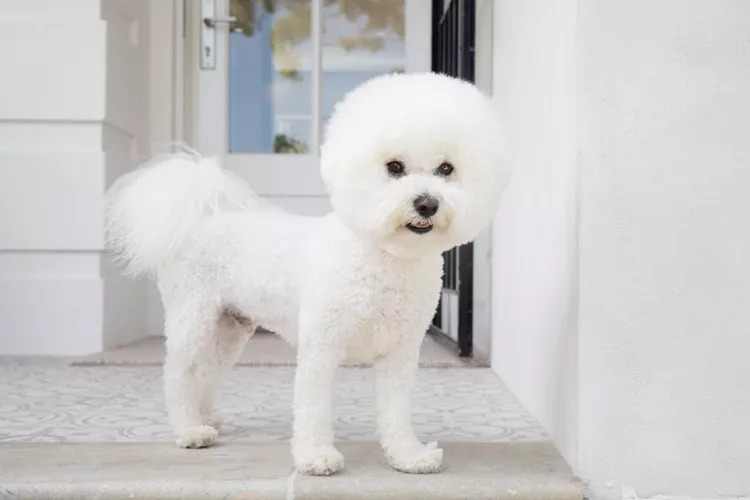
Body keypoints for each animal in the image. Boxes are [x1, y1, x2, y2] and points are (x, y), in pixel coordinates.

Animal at [106, 73, 512, 476]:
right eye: (394, 167)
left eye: (446, 169)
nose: (427, 203)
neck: (384, 257)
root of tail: (200, 215)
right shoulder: (322, 345)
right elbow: (314, 407)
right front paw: (316, 456)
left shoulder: (400, 352)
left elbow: (396, 412)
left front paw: (407, 456)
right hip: (193, 315)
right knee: (179, 373)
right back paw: (190, 430)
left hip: (230, 327)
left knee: (206, 371)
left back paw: (207, 419)